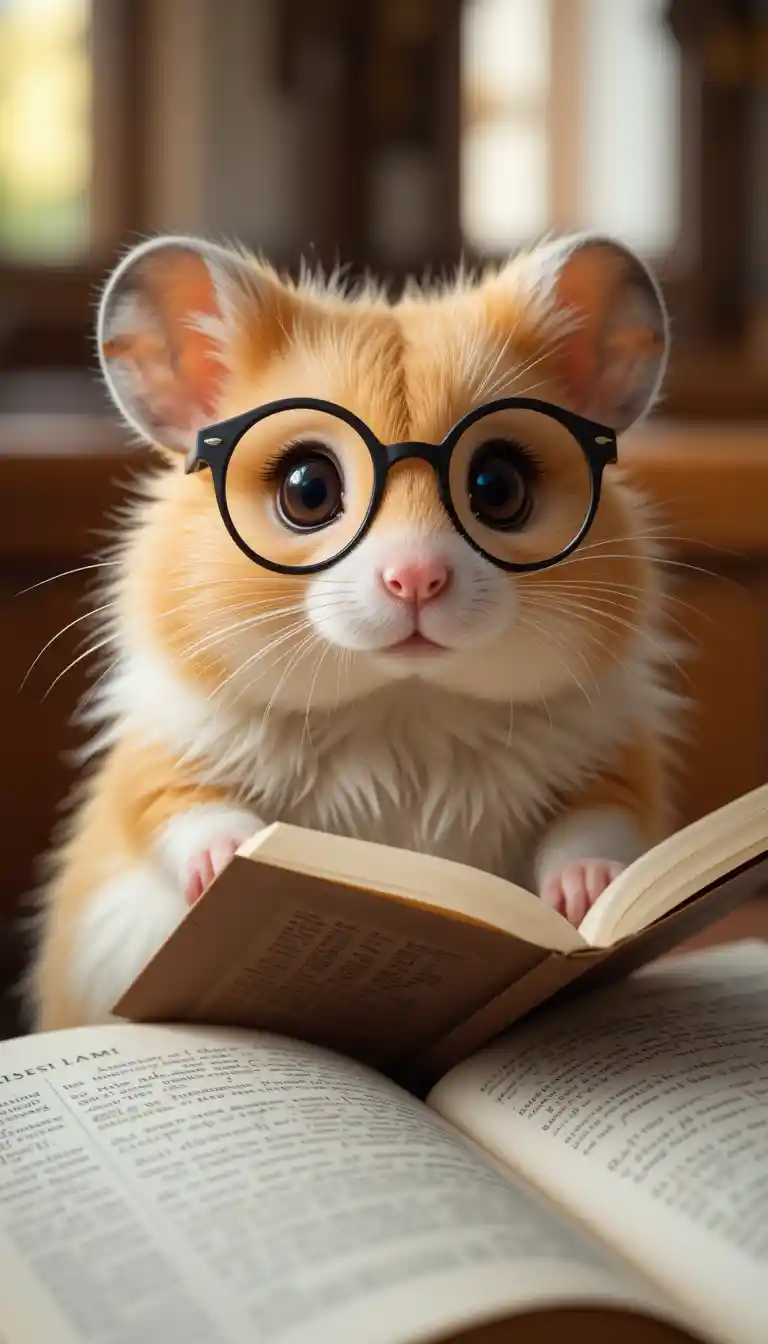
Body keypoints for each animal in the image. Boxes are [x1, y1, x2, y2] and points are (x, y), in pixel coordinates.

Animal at [29, 230, 678, 1031]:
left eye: (498, 486)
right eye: (308, 489)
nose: (416, 581)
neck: (403, 703)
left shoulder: (617, 755)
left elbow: (603, 824)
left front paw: (583, 904)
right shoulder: (159, 754)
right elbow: (182, 813)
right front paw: (239, 859)